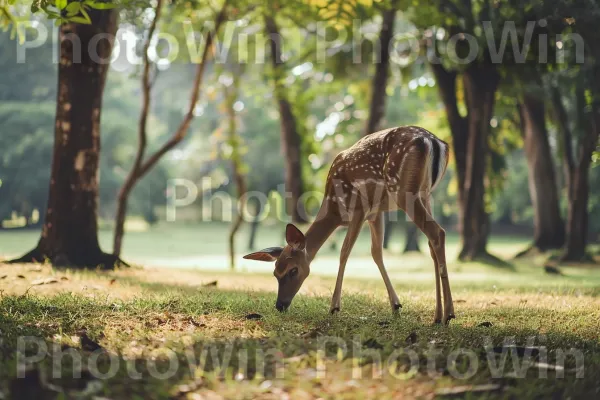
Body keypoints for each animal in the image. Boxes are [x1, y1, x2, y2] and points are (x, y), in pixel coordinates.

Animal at [244, 126, 454, 324]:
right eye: (275, 273)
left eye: (293, 270)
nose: (280, 305)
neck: (335, 209)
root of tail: (434, 141)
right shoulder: (375, 214)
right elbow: (376, 253)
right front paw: (395, 306)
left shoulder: (360, 207)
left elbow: (344, 251)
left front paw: (334, 307)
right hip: (426, 194)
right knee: (431, 243)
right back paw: (437, 316)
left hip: (403, 191)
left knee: (437, 232)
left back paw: (449, 315)